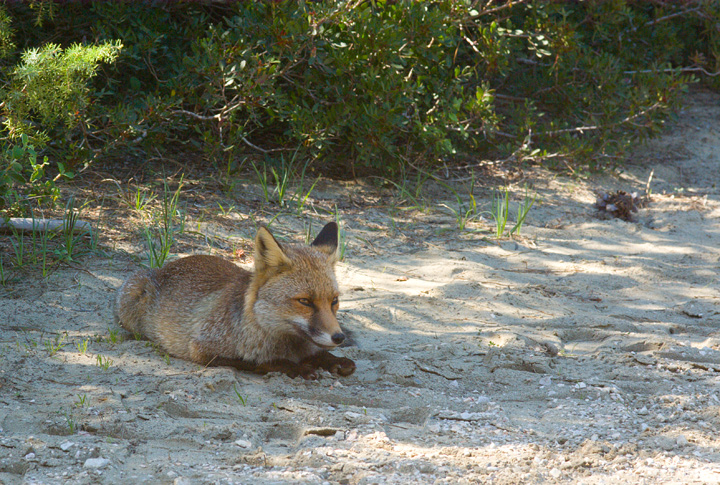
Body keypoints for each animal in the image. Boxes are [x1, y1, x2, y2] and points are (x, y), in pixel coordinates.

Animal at [113, 221, 358, 380]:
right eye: (305, 301)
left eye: (334, 301)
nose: (338, 337)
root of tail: (167, 266)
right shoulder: (201, 349)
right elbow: (259, 361)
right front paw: (299, 367)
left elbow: (327, 356)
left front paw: (331, 359)